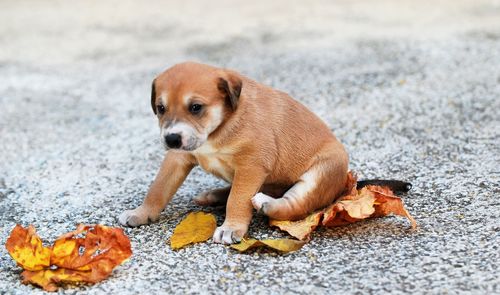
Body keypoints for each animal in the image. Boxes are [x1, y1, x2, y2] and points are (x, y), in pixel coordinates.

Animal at [120, 61, 406, 245]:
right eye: (160, 108)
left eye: (196, 107)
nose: (171, 138)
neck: (221, 125)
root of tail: (344, 182)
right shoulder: (177, 158)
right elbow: (158, 189)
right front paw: (141, 213)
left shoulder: (251, 165)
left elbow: (238, 199)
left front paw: (231, 228)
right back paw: (214, 195)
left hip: (319, 174)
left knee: (293, 206)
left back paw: (266, 203)